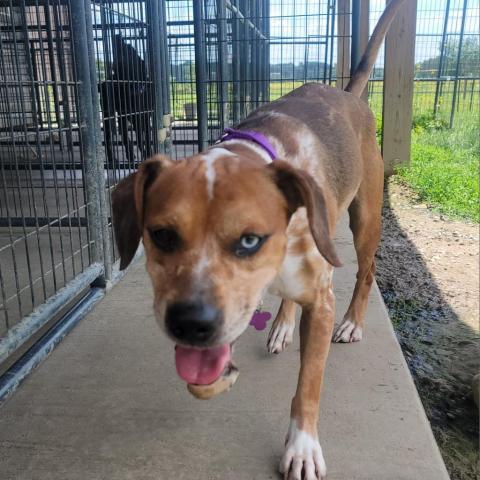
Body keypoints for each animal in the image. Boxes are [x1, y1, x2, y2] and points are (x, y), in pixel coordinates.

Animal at [111, 1, 404, 478]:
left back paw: (352, 323)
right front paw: (221, 374)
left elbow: (309, 383)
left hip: (365, 220)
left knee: (367, 269)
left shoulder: (320, 300)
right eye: (161, 235)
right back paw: (282, 324)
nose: (190, 324)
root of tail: (347, 95)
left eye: (250, 240)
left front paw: (302, 447)